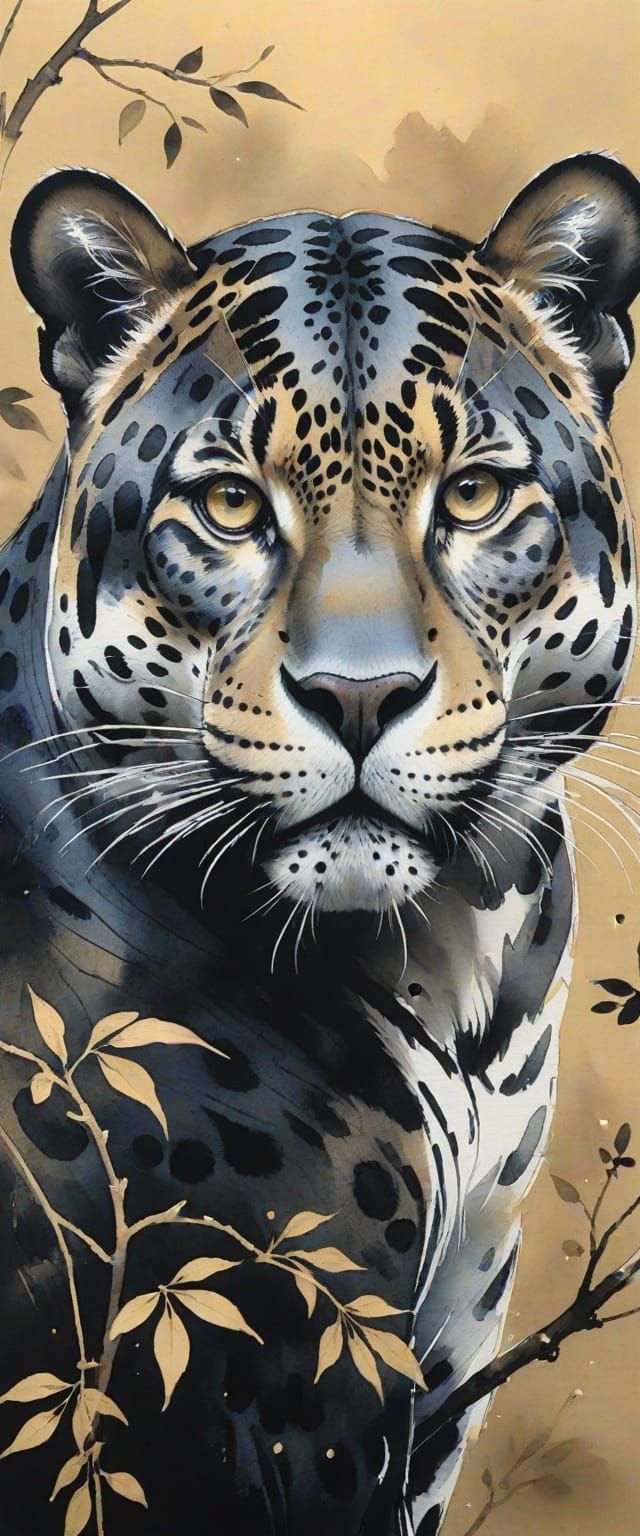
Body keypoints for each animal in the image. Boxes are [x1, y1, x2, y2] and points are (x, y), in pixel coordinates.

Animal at [0, 151, 638, 1536]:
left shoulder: (444, 1356)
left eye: (472, 494)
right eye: (231, 504)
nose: (360, 696)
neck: (456, 968)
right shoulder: (288, 1385)